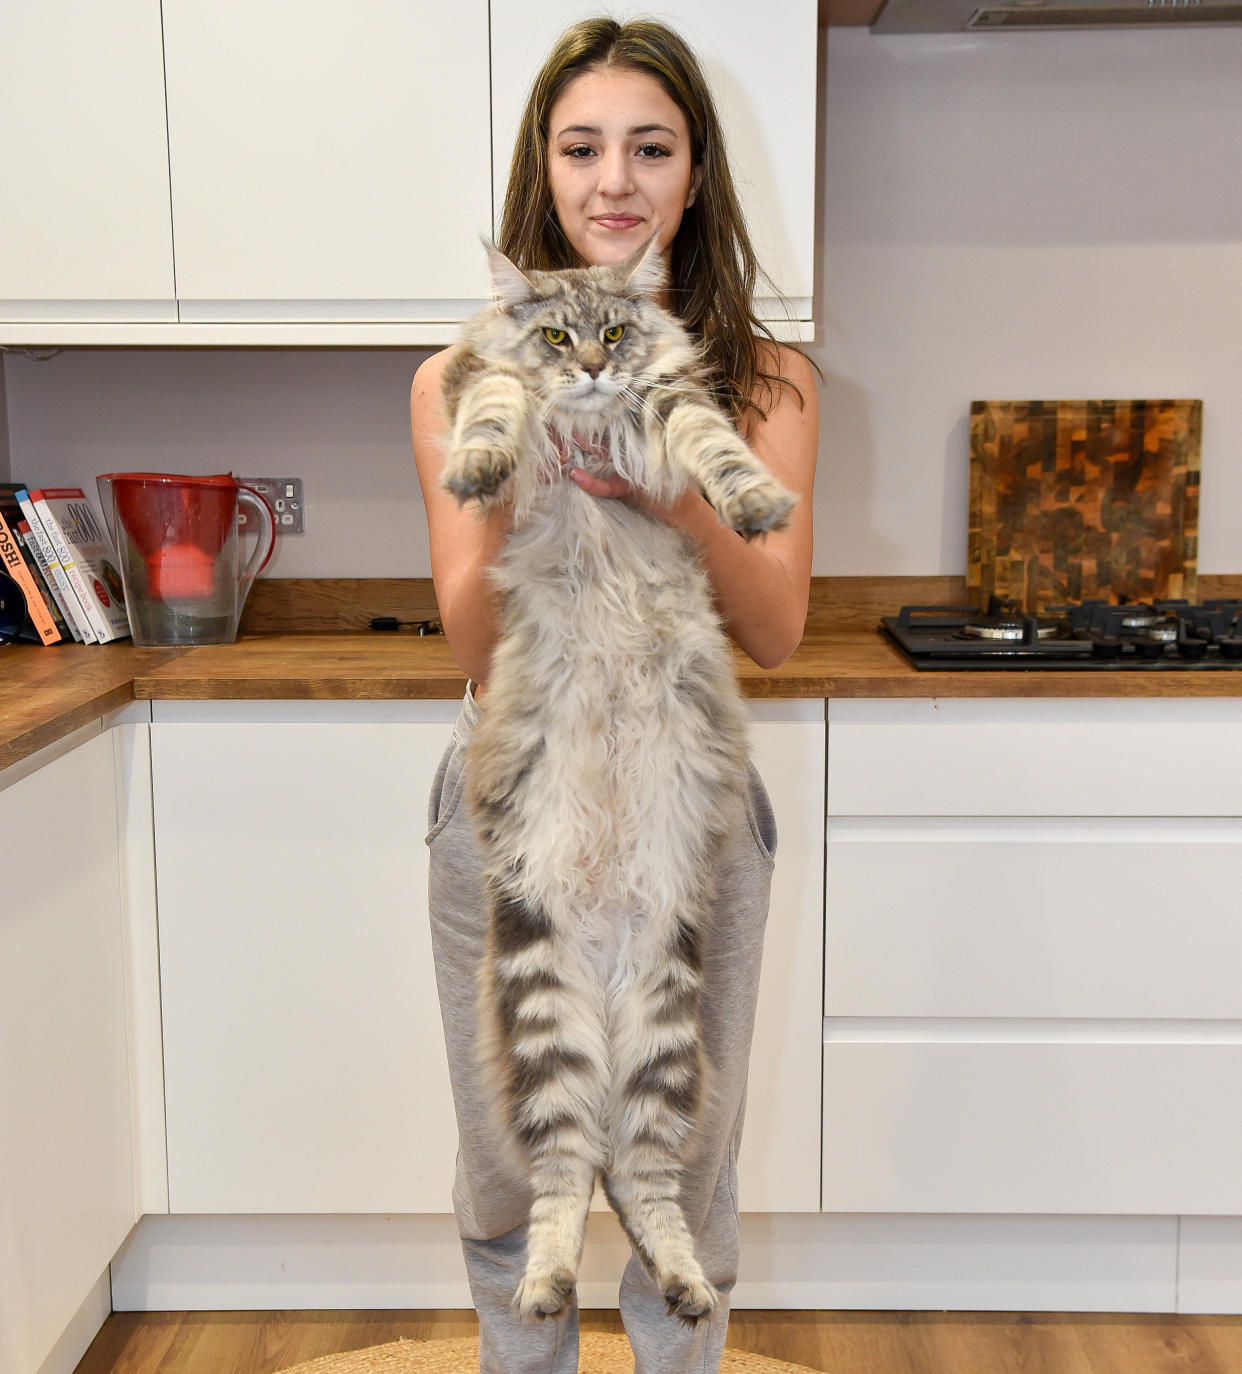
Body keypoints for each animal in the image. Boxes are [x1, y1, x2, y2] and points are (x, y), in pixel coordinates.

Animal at [442, 236, 802, 1319]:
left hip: (663, 1029)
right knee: (567, 1177)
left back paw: (682, 1285)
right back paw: (547, 1284)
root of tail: (602, 962)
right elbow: (496, 408)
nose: (596, 366)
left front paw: (757, 502)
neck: (593, 422)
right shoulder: (491, 381)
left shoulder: (669, 407)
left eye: (614, 330)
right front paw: (477, 465)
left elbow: (716, 451)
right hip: (541, 1003)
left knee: (638, 1185)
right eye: (559, 336)